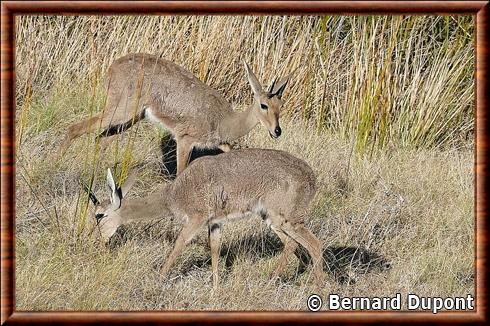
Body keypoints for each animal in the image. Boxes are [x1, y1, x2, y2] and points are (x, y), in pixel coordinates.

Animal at [60, 53, 290, 174]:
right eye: (263, 105)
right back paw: (57, 164)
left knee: (100, 138)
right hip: (120, 112)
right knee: (75, 128)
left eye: (281, 104)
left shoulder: (220, 144)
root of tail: (112, 66)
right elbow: (180, 174)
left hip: (130, 118)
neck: (225, 121)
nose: (277, 131)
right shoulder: (185, 139)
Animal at [84, 148, 324, 288]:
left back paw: (316, 289)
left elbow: (178, 245)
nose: (95, 240)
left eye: (99, 215)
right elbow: (215, 250)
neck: (173, 196)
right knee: (293, 244)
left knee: (314, 243)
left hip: (286, 219)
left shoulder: (196, 220)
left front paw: (159, 277)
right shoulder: (215, 223)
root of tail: (312, 178)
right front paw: (215, 287)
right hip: (271, 220)